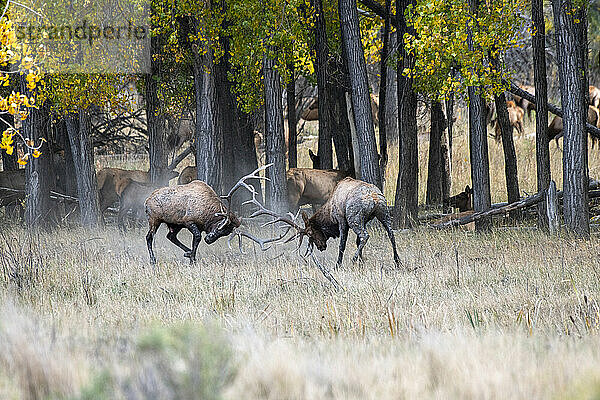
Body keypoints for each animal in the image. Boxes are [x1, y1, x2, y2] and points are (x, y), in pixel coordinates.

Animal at [144, 164, 276, 264]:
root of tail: (146, 201)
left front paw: (191, 255)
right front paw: (192, 260)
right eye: (221, 226)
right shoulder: (188, 220)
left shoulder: (188, 223)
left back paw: (187, 252)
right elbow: (197, 237)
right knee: (149, 237)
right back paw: (153, 260)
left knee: (170, 236)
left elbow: (196, 239)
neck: (207, 216)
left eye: (226, 233)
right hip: (154, 219)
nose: (209, 239)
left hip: (175, 224)